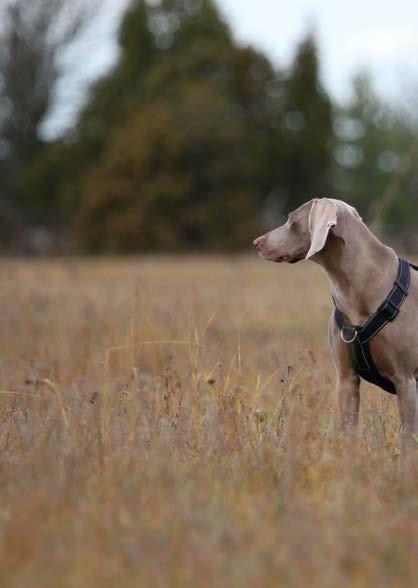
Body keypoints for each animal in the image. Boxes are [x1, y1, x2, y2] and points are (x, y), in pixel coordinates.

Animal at [253, 196, 418, 446]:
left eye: (291, 219)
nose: (256, 242)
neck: (357, 288)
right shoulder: (346, 379)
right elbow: (348, 432)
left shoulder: (406, 380)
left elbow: (408, 441)